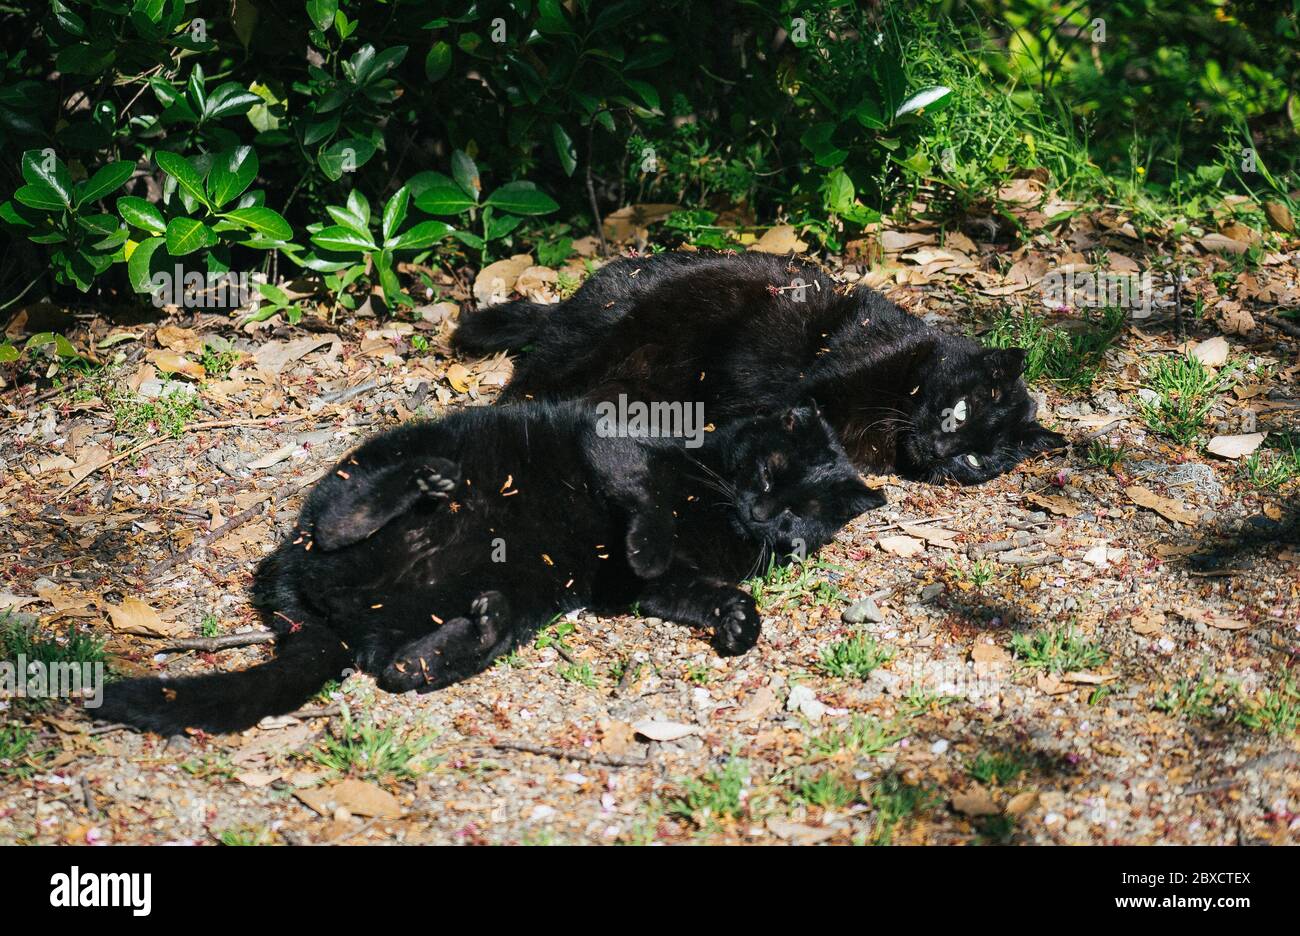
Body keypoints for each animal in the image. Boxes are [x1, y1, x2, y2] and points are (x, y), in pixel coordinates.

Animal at [96, 397, 878, 733]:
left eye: (802, 514)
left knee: (398, 669)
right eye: (771, 471)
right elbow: (645, 496)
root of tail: (315, 614)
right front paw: (650, 541)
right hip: (374, 471)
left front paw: (740, 622)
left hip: (491, 596)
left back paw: (481, 625)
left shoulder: (653, 590)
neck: (717, 517)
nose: (764, 514)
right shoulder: (616, 443)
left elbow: (695, 592)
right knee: (335, 521)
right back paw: (420, 486)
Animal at [452, 248, 1060, 483]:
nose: (939, 450)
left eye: (976, 459)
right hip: (600, 339)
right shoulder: (816, 382)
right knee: (527, 385)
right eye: (960, 411)